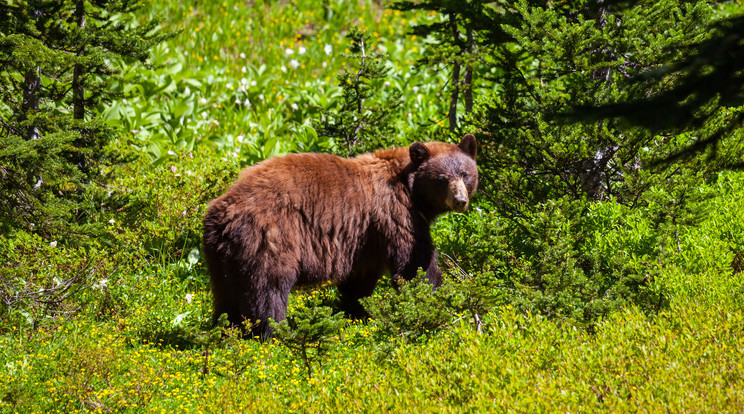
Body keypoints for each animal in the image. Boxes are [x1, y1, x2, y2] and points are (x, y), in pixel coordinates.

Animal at [203, 134, 480, 338]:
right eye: (442, 178)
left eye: (466, 174)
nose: (460, 200)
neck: (410, 189)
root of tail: (224, 212)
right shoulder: (396, 216)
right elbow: (414, 265)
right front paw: (438, 302)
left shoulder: (365, 240)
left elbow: (358, 281)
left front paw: (356, 312)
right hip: (268, 239)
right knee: (268, 291)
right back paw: (277, 333)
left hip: (221, 256)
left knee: (227, 297)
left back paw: (226, 331)